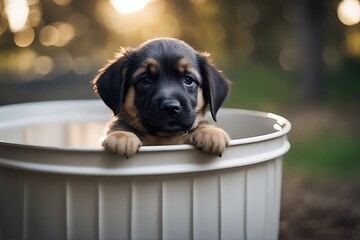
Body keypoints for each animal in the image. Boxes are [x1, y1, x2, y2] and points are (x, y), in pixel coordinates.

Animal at [93, 38, 231, 158]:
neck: (165, 139)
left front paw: (211, 132)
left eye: (188, 80)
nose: (171, 108)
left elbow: (200, 125)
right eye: (145, 80)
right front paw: (122, 136)